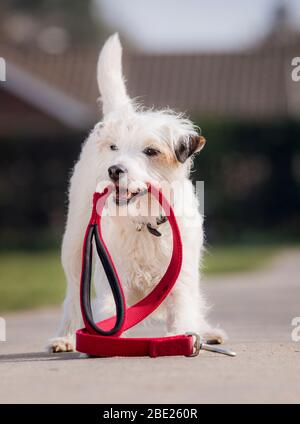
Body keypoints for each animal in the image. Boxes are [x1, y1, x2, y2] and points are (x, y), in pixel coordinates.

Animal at [50, 33, 225, 352]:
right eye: (114, 147)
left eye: (151, 151)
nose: (114, 170)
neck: (145, 222)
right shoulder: (111, 285)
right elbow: (107, 316)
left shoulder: (180, 281)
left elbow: (184, 312)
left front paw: (186, 337)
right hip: (74, 247)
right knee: (73, 296)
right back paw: (66, 337)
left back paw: (208, 332)